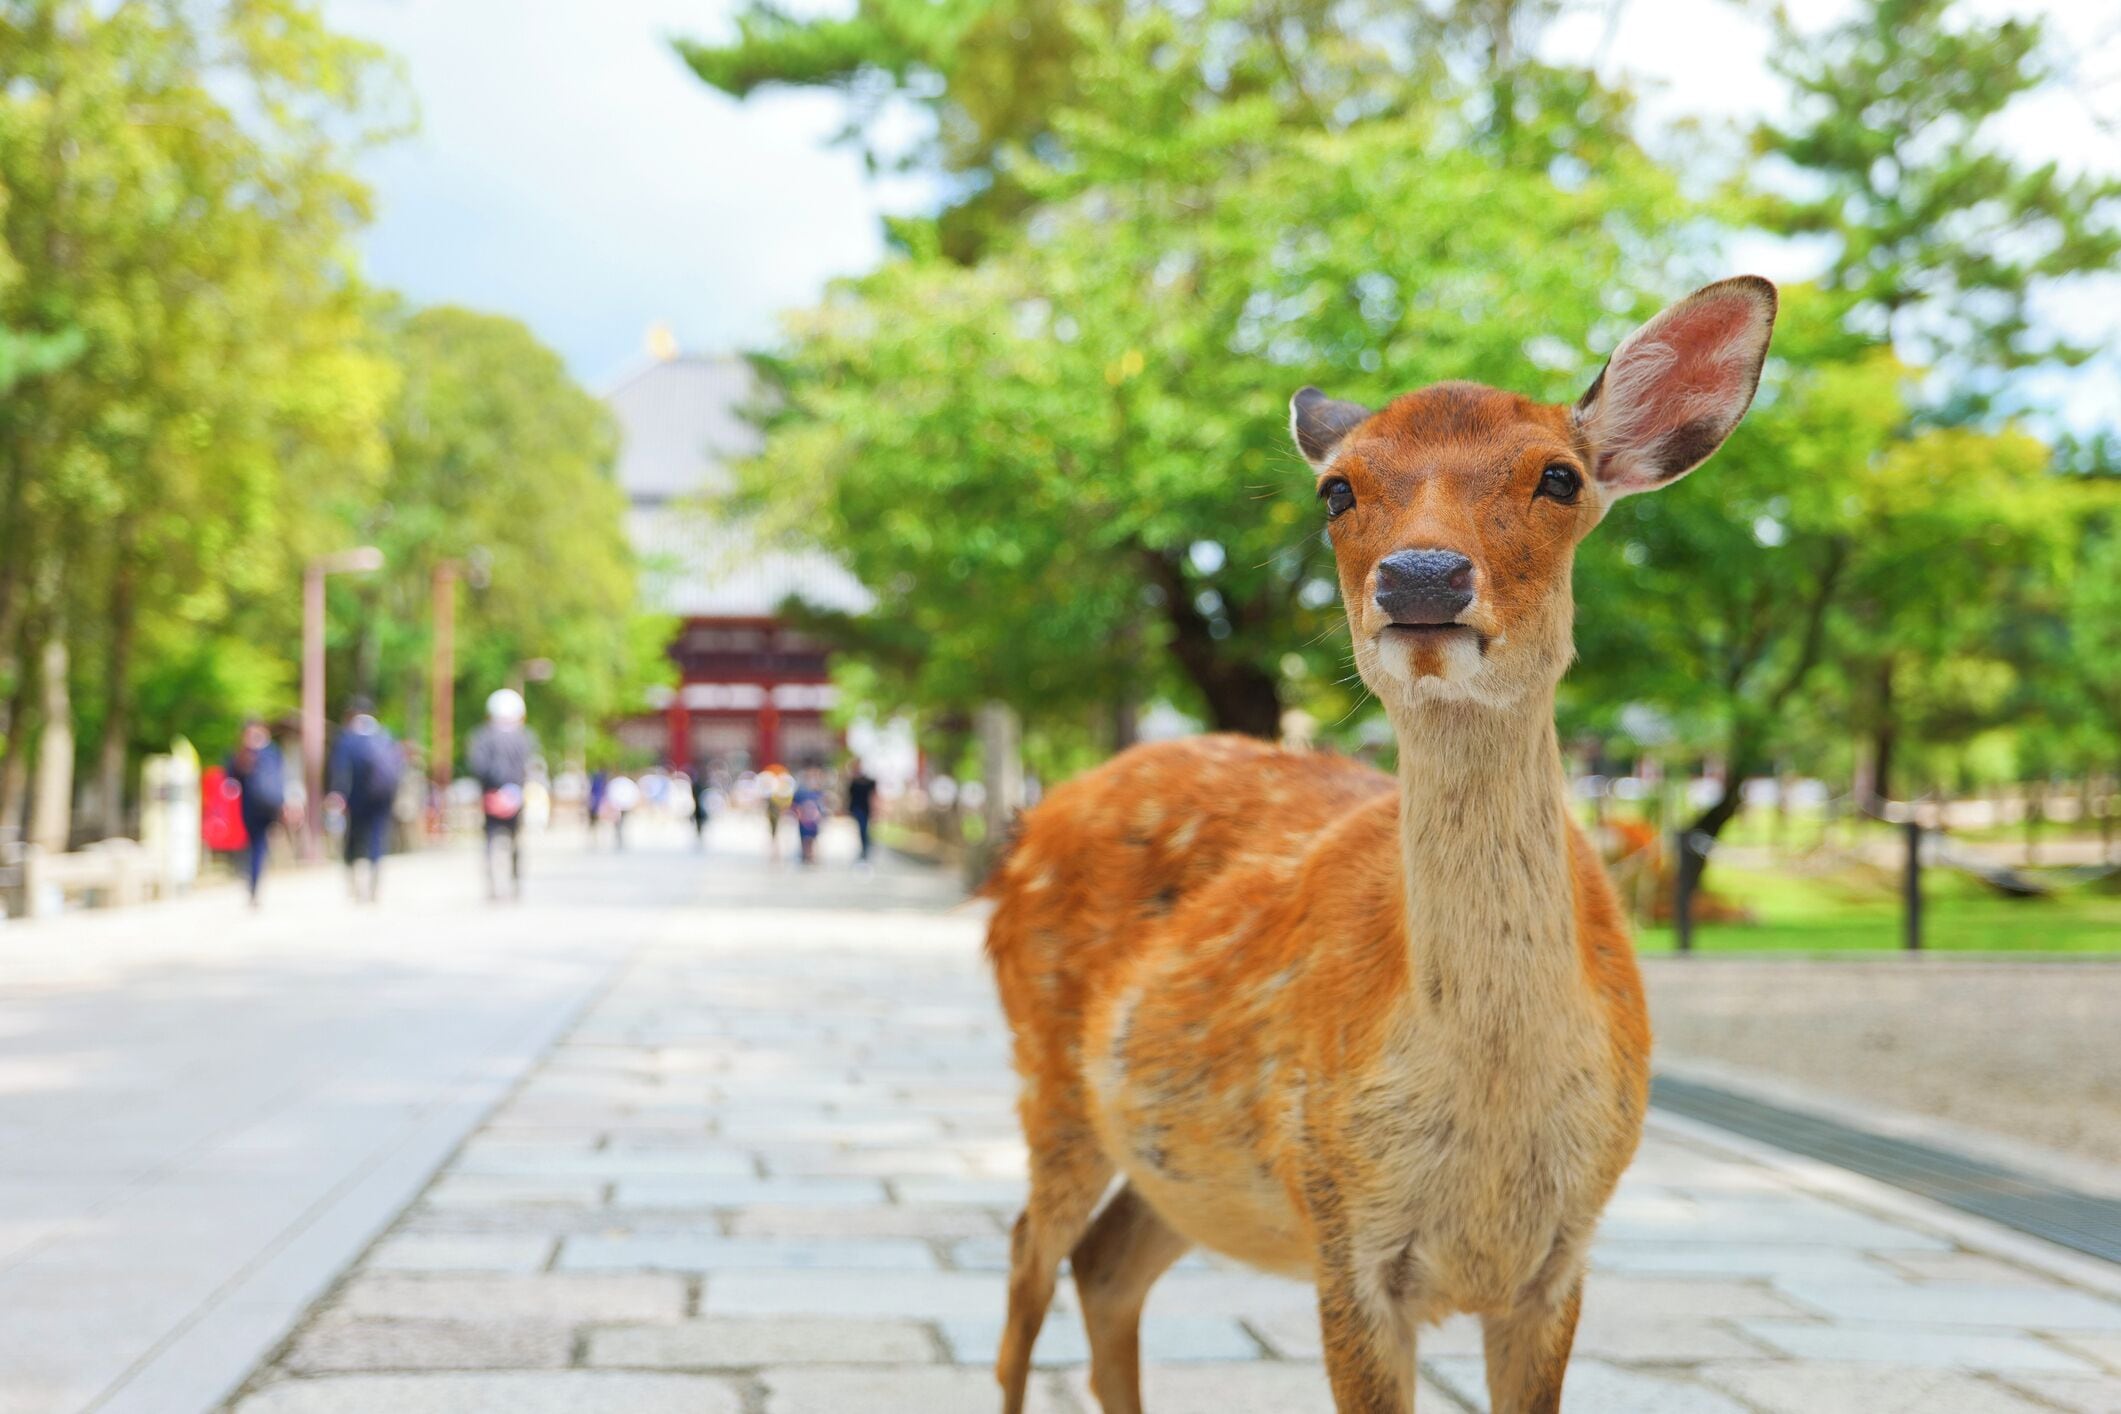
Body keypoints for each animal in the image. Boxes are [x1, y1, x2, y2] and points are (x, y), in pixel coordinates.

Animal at [982, 277, 1778, 1413]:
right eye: (1337, 492)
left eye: (1559, 475)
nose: (1423, 577)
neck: (1491, 1123)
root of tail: (1029, 831)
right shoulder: (1343, 1227)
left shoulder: (1563, 1255)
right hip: (1048, 1067)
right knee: (1026, 1258)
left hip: (1182, 1160)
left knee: (1104, 1265)